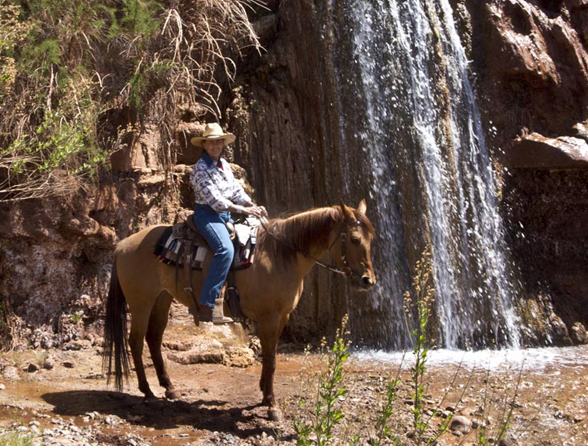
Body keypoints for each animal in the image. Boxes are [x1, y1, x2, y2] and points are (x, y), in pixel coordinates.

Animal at [101, 200, 376, 420]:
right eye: (354, 239)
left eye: (370, 239)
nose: (367, 281)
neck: (280, 256)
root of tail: (122, 245)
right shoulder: (269, 318)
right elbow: (271, 360)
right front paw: (272, 406)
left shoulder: (282, 317)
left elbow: (269, 358)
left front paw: (265, 395)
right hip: (141, 302)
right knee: (136, 341)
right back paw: (147, 391)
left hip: (162, 299)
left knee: (154, 338)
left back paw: (169, 388)